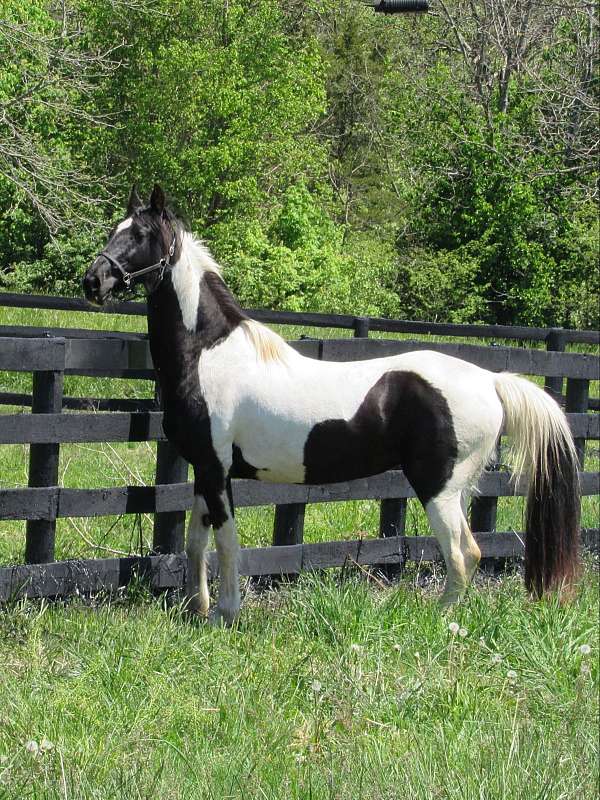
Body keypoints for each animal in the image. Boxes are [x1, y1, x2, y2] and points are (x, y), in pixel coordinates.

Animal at [82, 188, 580, 624]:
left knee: (463, 553)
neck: (209, 353)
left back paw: (439, 621)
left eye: (142, 234)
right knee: (469, 552)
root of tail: (492, 381)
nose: (93, 281)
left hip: (439, 489)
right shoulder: (206, 471)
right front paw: (196, 609)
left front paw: (226, 613)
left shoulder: (216, 469)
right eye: (114, 229)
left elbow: (226, 543)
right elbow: (194, 540)